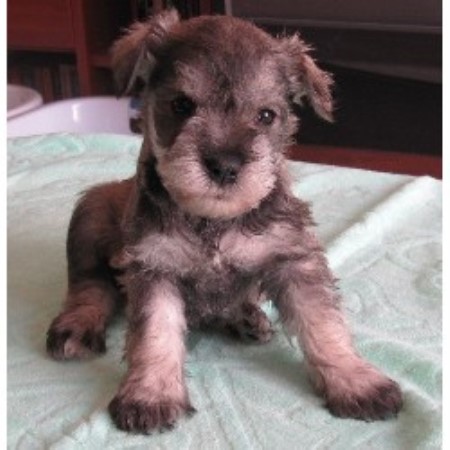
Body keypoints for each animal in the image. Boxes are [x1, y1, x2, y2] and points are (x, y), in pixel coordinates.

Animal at [46, 9, 404, 432]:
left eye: (266, 115)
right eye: (182, 105)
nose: (224, 166)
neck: (214, 221)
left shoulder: (293, 257)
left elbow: (322, 320)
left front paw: (355, 380)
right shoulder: (154, 266)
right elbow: (155, 331)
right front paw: (150, 394)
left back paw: (246, 318)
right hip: (90, 213)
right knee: (90, 286)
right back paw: (76, 325)